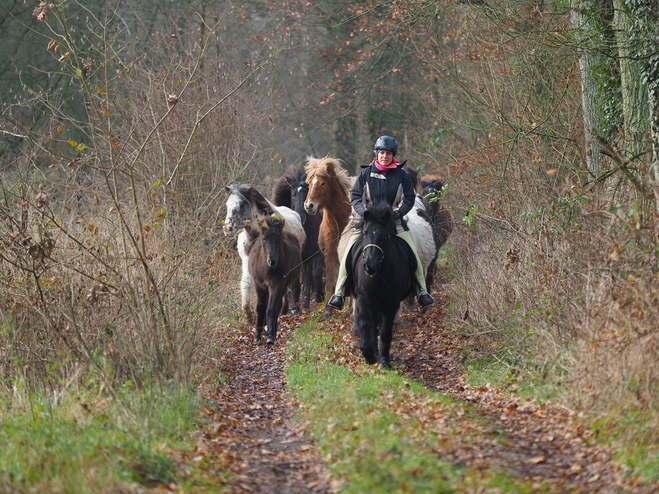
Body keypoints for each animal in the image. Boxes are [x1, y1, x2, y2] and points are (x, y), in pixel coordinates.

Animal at [248, 216, 302, 344]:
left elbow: (271, 309)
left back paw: (274, 331)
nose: (272, 261)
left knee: (277, 306)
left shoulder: (277, 284)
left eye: (279, 238)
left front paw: (270, 336)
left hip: (283, 285)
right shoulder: (259, 285)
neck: (267, 270)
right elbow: (260, 308)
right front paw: (257, 335)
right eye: (264, 238)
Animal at [272, 168, 326, 310]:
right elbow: (296, 280)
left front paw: (319, 297)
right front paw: (295, 306)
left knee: (310, 276)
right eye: (293, 195)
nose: (301, 216)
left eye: (308, 192)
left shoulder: (315, 252)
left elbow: (316, 273)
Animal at [306, 155, 356, 316]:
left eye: (323, 183)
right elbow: (331, 279)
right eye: (309, 183)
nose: (309, 206)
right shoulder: (330, 252)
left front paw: (349, 309)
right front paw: (328, 310)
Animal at [342, 203, 416, 368]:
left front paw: (384, 360)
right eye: (365, 232)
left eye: (385, 235)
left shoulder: (391, 305)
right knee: (372, 325)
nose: (370, 266)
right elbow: (365, 324)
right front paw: (368, 354)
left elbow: (385, 332)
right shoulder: (363, 299)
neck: (377, 277)